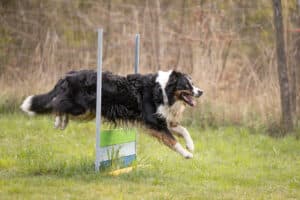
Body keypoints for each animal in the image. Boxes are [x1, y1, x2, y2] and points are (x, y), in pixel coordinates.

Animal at [20, 69, 204, 159]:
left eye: (193, 84)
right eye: (187, 85)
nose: (201, 91)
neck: (163, 90)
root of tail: (68, 75)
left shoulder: (163, 119)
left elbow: (184, 130)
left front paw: (191, 145)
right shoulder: (153, 122)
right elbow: (172, 140)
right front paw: (187, 154)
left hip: (88, 111)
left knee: (61, 105)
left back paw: (61, 122)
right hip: (82, 107)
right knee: (58, 103)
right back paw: (59, 121)